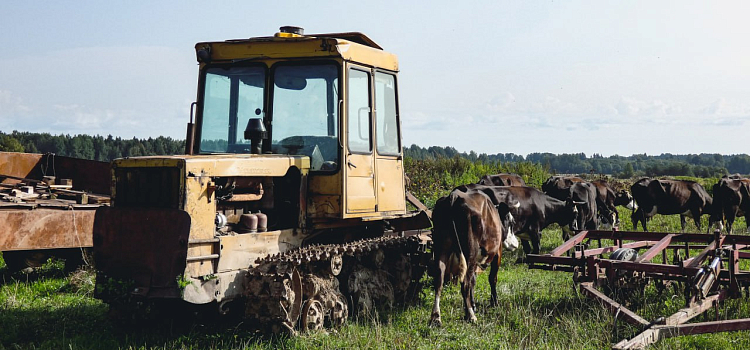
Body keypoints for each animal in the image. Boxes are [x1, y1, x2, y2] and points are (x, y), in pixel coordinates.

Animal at [432, 189, 520, 326]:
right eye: (511, 222)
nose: (516, 244)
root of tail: (454, 195)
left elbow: (473, 281)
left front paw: (473, 305)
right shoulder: (497, 252)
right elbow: (492, 278)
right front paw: (494, 302)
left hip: (441, 249)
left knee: (439, 280)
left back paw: (436, 317)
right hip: (470, 252)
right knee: (464, 283)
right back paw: (470, 316)